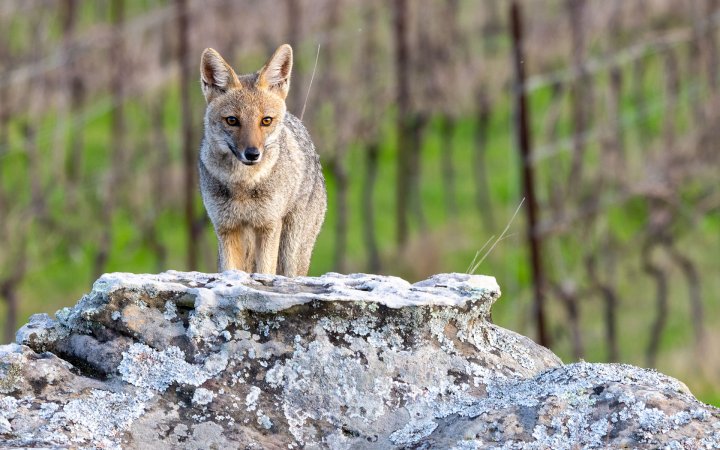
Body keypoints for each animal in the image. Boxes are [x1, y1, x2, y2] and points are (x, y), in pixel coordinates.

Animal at [200, 46, 330, 278]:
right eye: (232, 120)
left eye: (266, 121)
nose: (252, 154)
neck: (242, 184)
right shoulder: (226, 229)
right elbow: (230, 270)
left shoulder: (268, 227)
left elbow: (266, 271)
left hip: (290, 252)